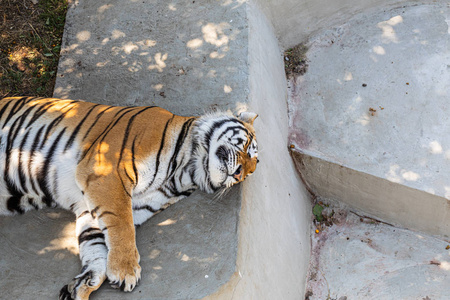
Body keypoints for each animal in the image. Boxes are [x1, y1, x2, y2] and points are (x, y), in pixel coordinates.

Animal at [0, 96, 258, 300]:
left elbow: (96, 243)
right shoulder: (105, 171)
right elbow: (122, 227)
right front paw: (126, 270)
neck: (187, 170)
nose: (239, 174)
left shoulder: (99, 205)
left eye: (250, 172)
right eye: (246, 147)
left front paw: (84, 285)